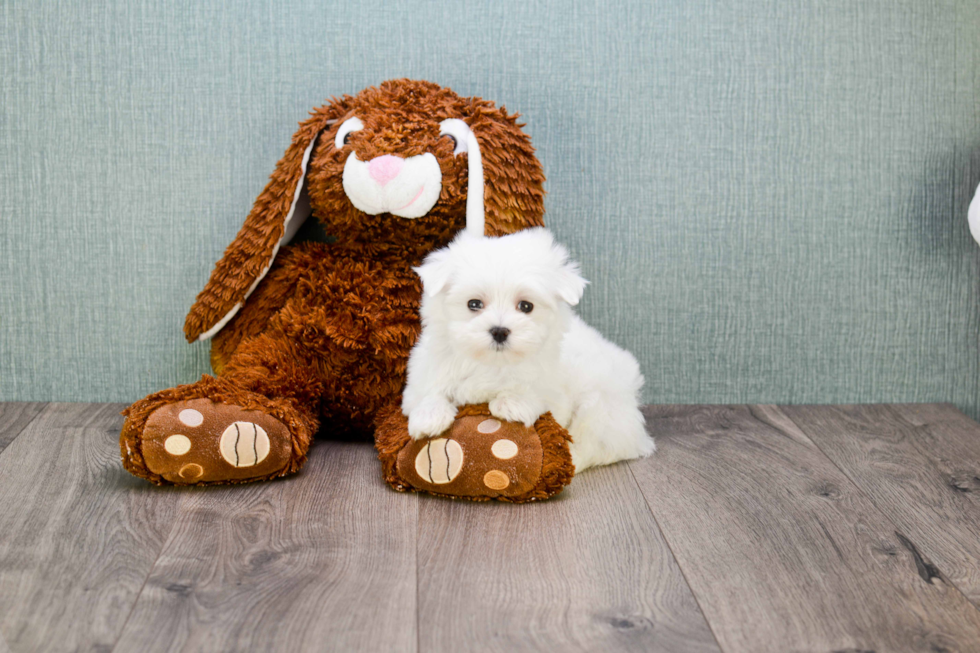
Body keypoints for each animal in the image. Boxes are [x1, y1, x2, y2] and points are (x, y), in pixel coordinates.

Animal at [402, 227, 656, 472]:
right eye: (473, 304)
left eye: (526, 306)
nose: (499, 331)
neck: (492, 363)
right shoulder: (425, 371)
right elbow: (427, 391)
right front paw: (429, 417)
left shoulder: (555, 389)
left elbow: (537, 393)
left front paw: (512, 403)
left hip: (600, 407)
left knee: (595, 445)